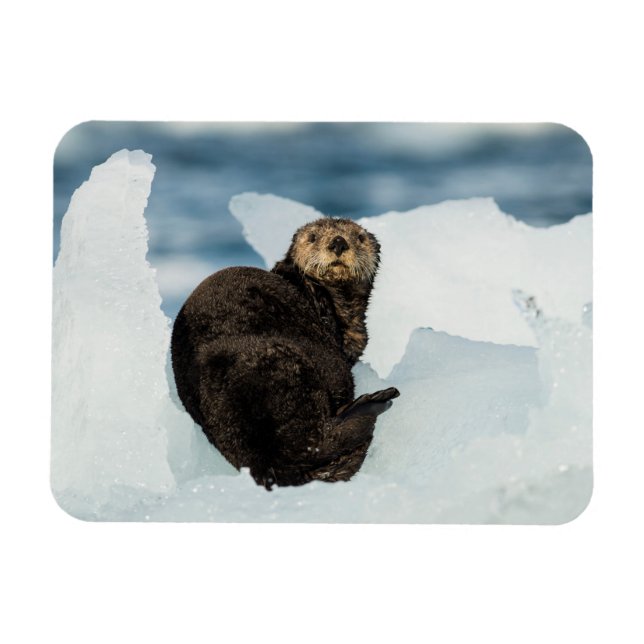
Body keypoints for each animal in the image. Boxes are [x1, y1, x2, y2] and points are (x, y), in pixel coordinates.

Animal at [170, 217, 399, 489]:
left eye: (359, 237)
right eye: (312, 237)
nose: (338, 242)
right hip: (295, 369)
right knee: (318, 440)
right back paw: (375, 401)